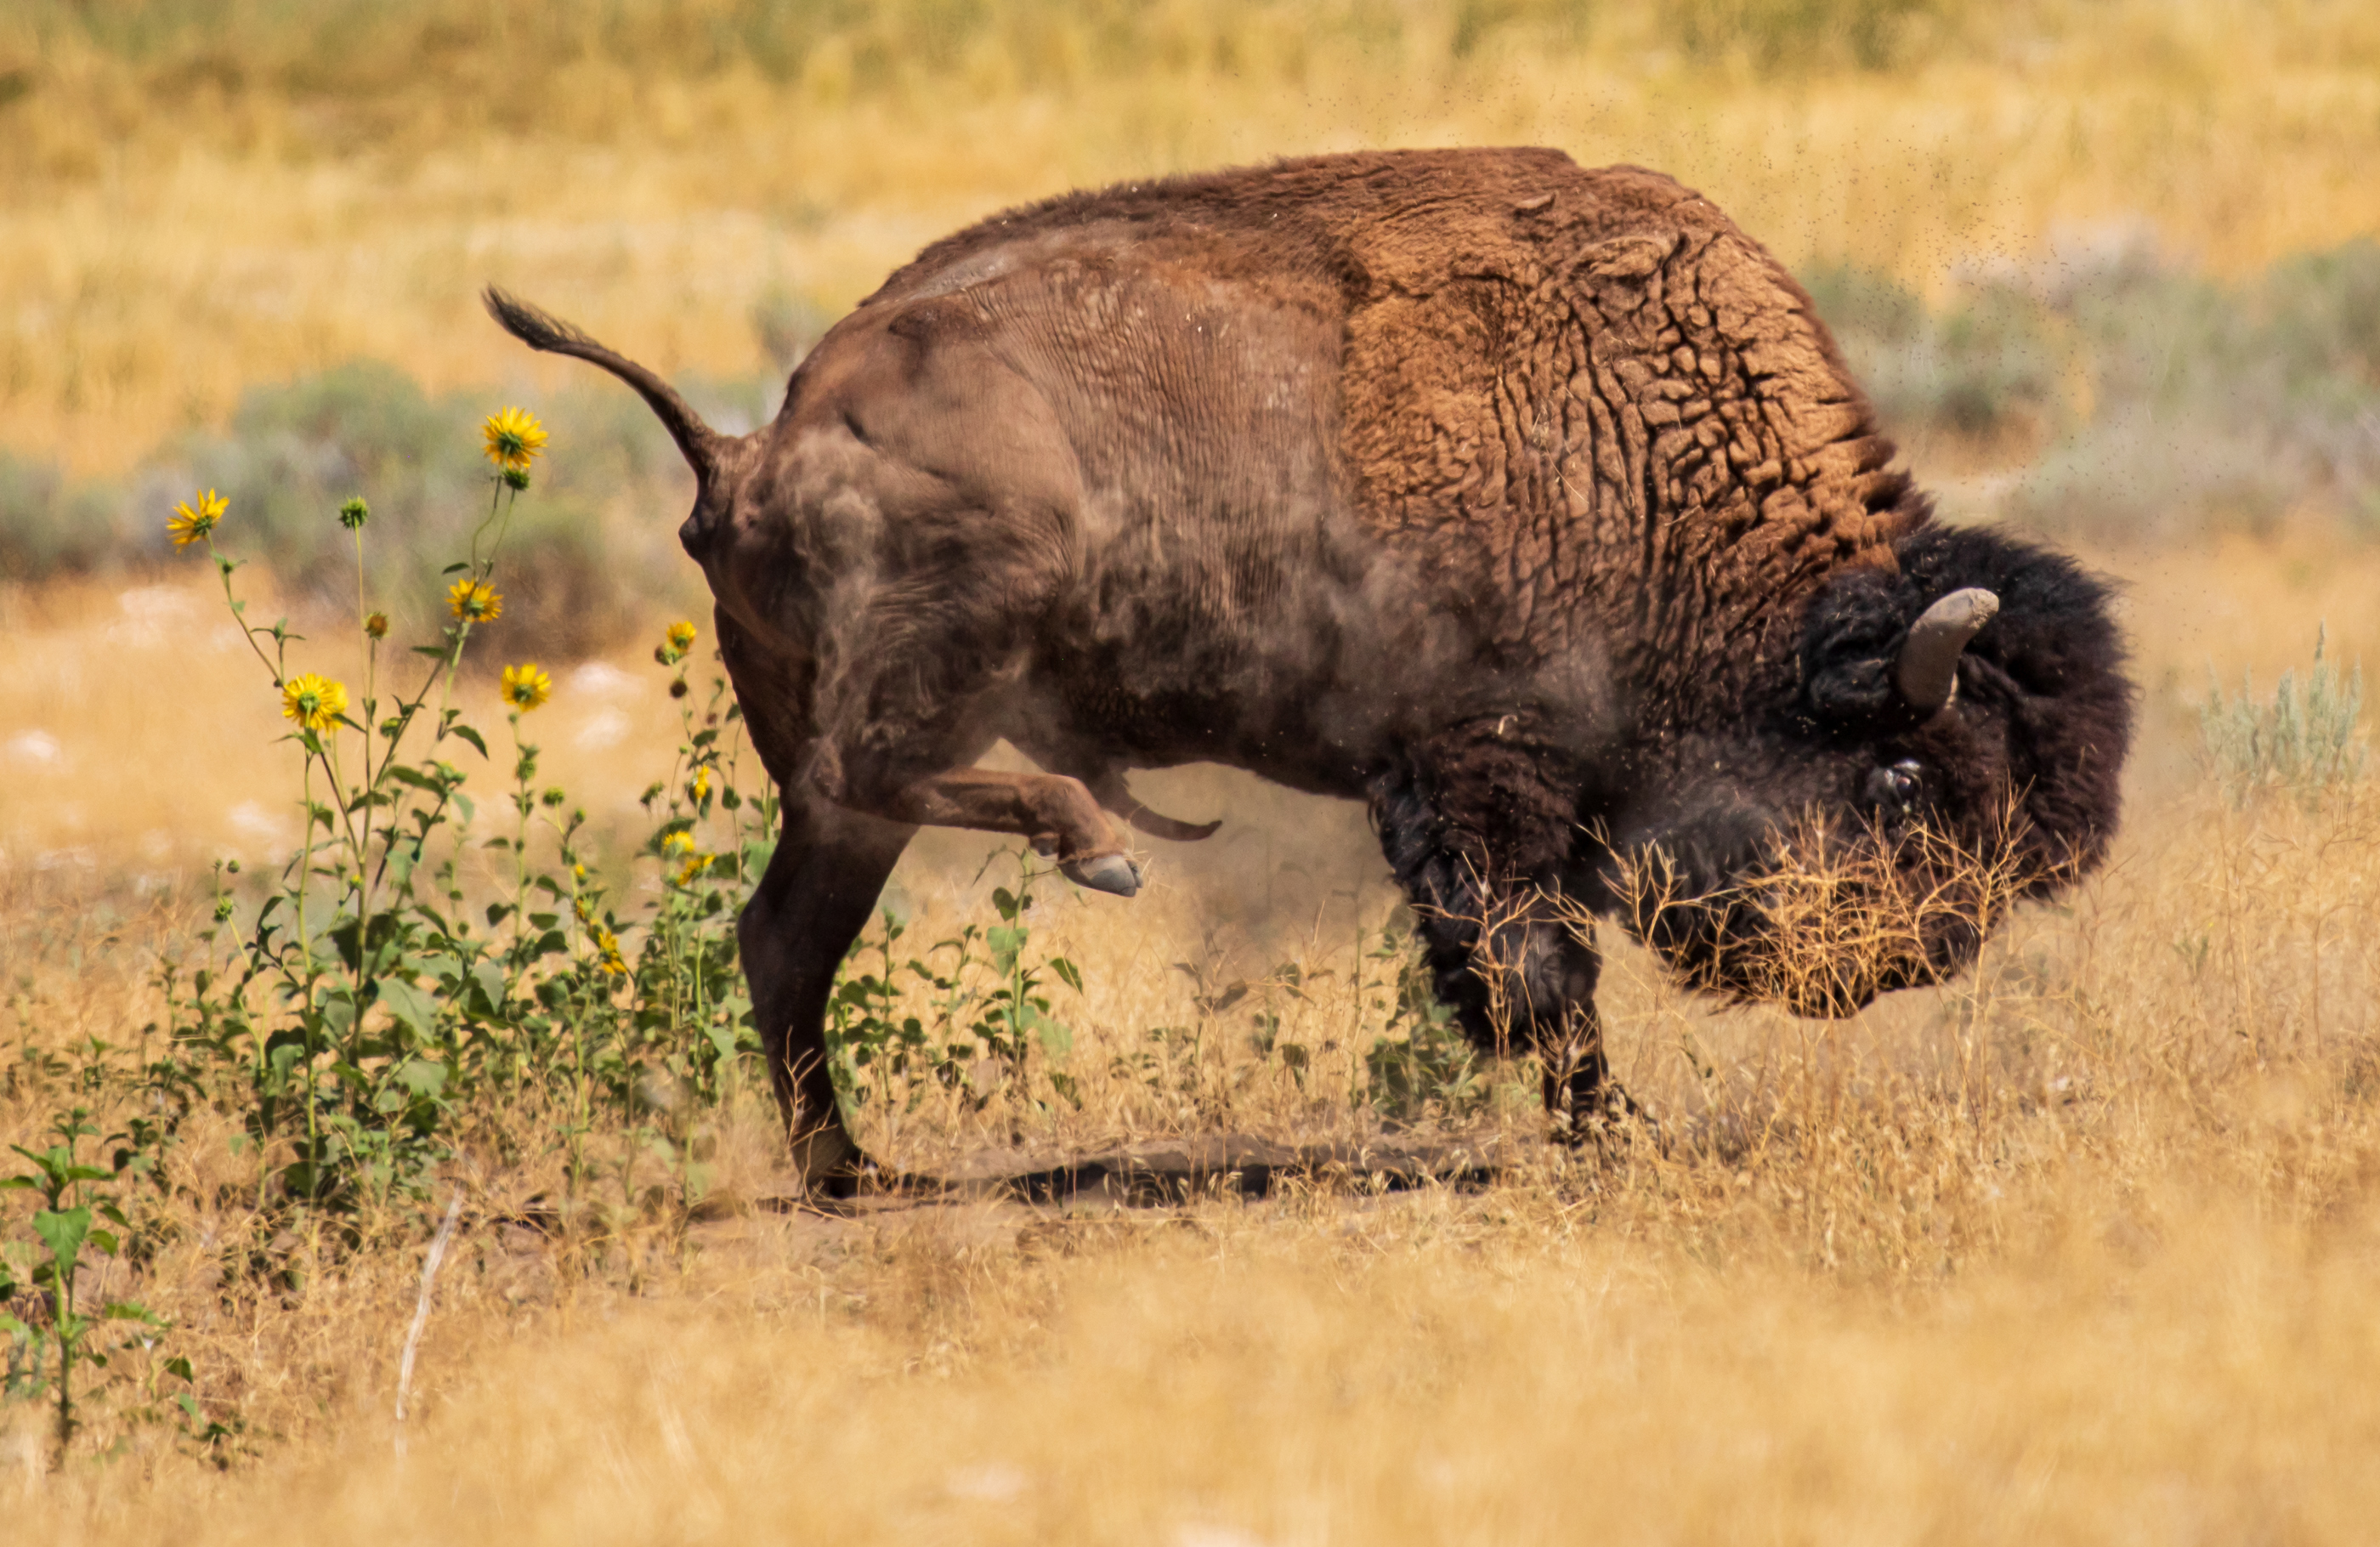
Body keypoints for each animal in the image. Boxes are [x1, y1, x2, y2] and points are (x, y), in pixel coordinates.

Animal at [488, 147, 2132, 1187]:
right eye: (1907, 780)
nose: (1915, 957)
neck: (1630, 449)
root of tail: (753, 442)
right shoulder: (1476, 771)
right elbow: (1533, 966)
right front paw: (1613, 1129)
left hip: (841, 788)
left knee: (787, 938)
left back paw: (849, 1170)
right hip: (958, 648)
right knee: (870, 783)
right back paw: (1097, 849)